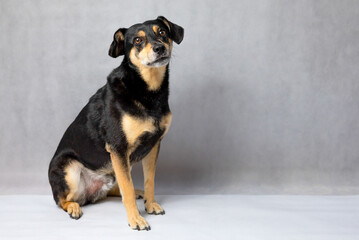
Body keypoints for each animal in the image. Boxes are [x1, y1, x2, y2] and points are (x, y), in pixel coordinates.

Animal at [47, 15, 184, 230]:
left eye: (162, 32)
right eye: (138, 40)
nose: (159, 48)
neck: (147, 90)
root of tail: (89, 194)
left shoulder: (153, 146)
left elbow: (149, 180)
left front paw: (151, 204)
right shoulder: (118, 148)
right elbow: (126, 189)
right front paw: (136, 219)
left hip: (114, 170)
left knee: (113, 188)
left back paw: (138, 194)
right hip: (69, 169)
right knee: (62, 200)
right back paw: (74, 207)